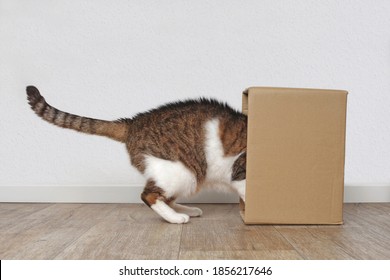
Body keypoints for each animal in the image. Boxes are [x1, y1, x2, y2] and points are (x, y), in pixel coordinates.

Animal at [26, 85, 247, 223]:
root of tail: (133, 122)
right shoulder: (240, 171)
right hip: (183, 173)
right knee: (149, 195)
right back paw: (176, 218)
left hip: (182, 177)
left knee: (166, 198)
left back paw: (186, 210)